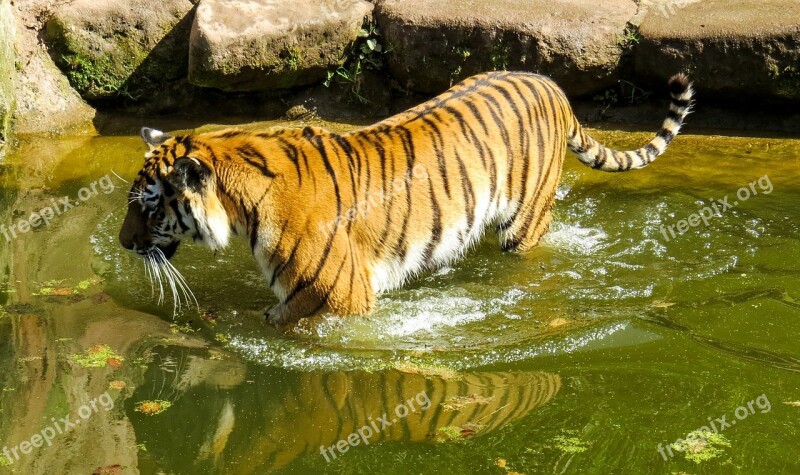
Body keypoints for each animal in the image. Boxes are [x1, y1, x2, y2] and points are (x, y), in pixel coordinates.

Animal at [120, 70, 692, 326]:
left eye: (149, 205)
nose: (124, 244)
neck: (241, 209)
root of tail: (549, 82)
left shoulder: (338, 297)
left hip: (525, 221)